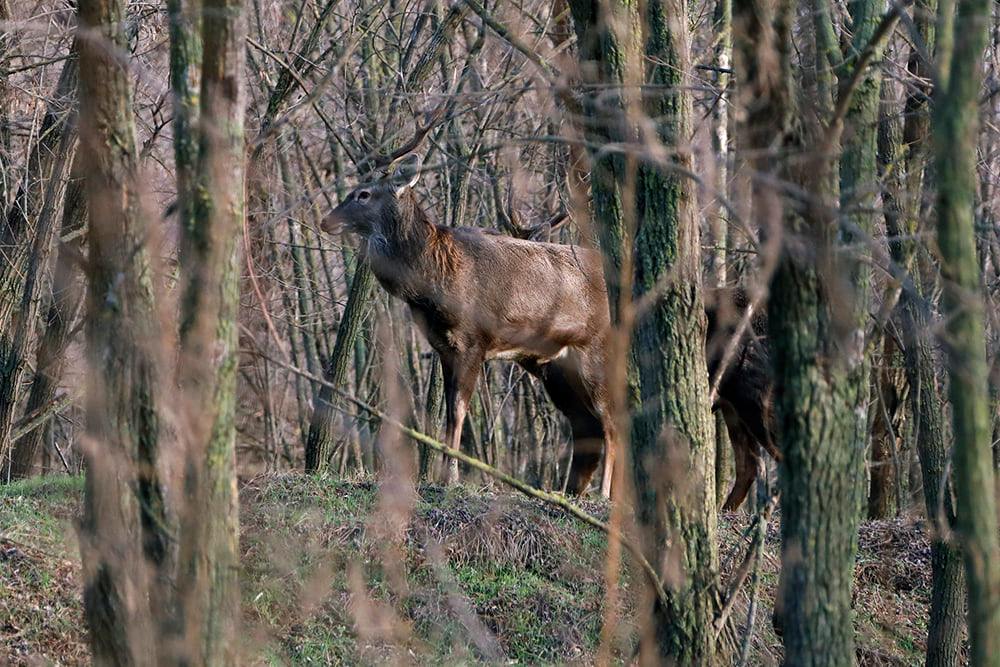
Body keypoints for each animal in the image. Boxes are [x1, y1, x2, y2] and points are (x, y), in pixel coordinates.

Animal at [324, 150, 776, 506]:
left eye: (364, 193)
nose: (327, 220)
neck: (434, 278)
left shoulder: (473, 341)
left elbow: (458, 412)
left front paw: (447, 477)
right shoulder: (444, 348)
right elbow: (449, 412)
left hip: (600, 354)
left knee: (613, 425)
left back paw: (602, 495)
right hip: (567, 371)